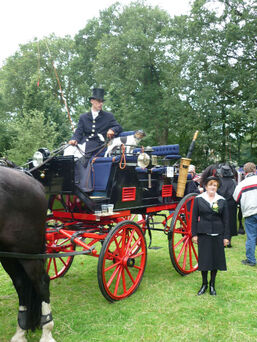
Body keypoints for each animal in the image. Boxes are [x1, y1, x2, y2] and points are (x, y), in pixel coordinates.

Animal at [0, 166, 55, 342]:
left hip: (27, 251)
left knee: (42, 282)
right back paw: (21, 331)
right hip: (9, 253)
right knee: (22, 283)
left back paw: (47, 331)